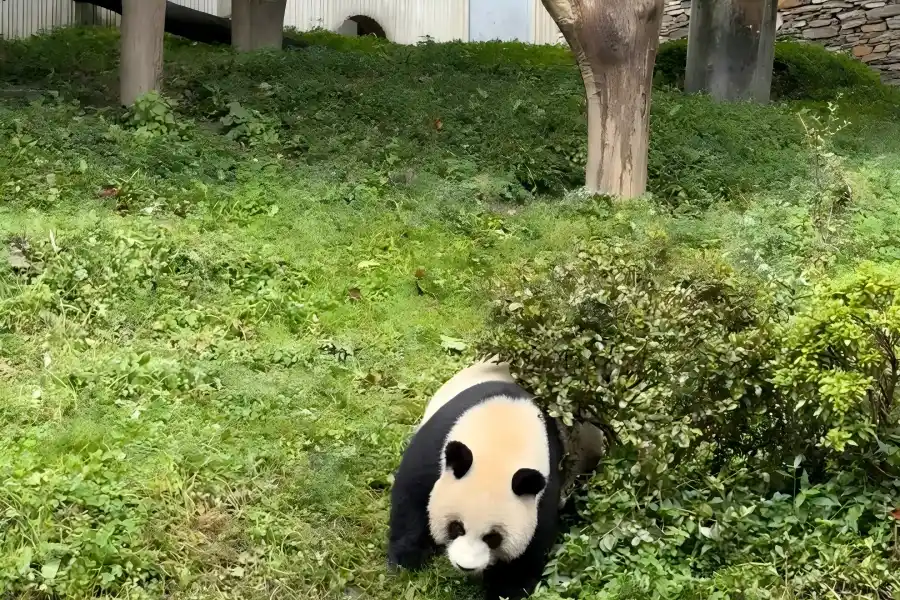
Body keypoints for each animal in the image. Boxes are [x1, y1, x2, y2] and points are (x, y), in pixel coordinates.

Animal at [387, 357, 601, 600]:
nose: (465, 566)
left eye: (493, 537)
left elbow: (533, 542)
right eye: (456, 527)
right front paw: (406, 560)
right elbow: (412, 495)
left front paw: (504, 591)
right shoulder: (439, 442)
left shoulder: (546, 481)